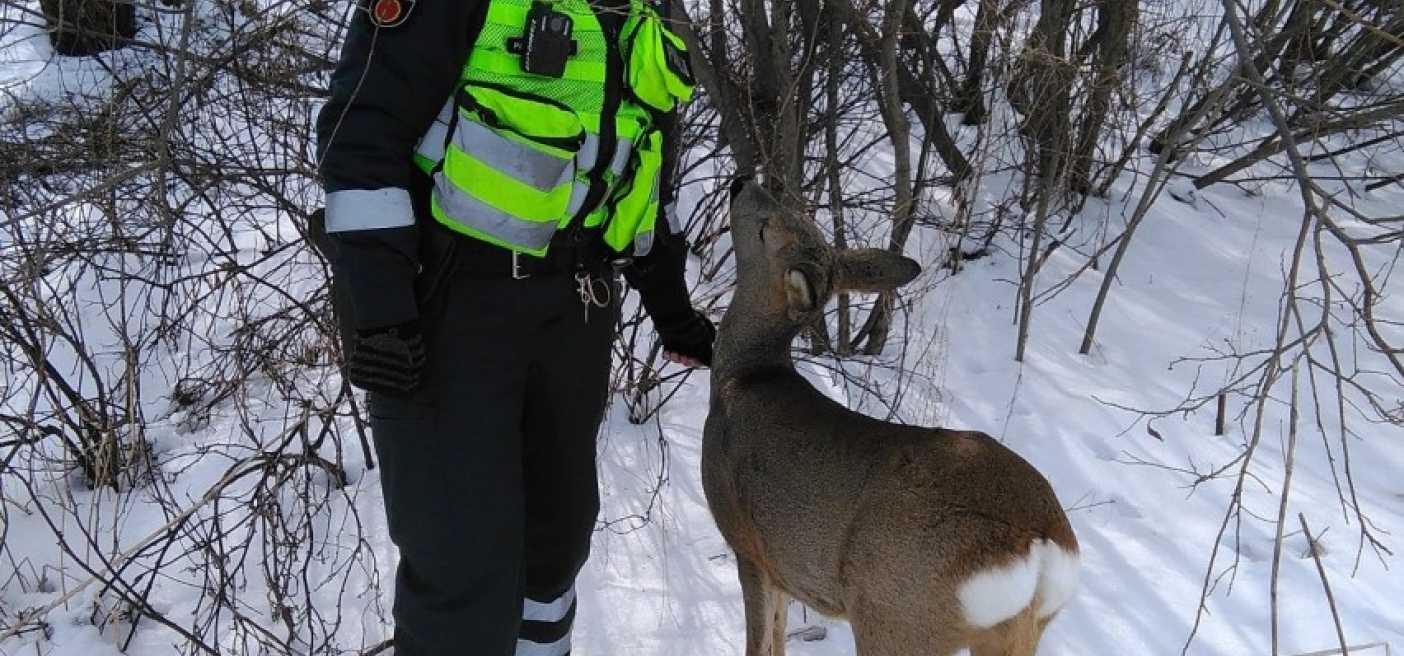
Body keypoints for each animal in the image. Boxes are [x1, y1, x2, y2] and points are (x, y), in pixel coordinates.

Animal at [702, 181, 1083, 656]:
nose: (740, 184)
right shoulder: (783, 567)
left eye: (764, 228)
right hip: (1018, 630)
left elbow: (760, 642)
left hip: (896, 614)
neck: (743, 375)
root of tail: (1042, 544)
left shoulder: (748, 543)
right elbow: (779, 636)